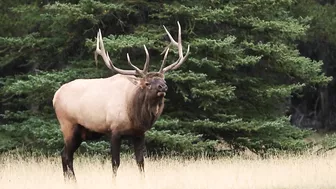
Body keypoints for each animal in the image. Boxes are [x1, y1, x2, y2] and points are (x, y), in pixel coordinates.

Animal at [51, 21, 190, 182]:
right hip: (68, 125)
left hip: (81, 132)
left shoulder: (139, 133)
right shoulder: (114, 130)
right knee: (66, 155)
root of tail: (55, 96)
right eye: (147, 83)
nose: (163, 86)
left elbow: (140, 162)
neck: (135, 115)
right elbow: (115, 163)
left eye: (163, 80)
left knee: (65, 154)